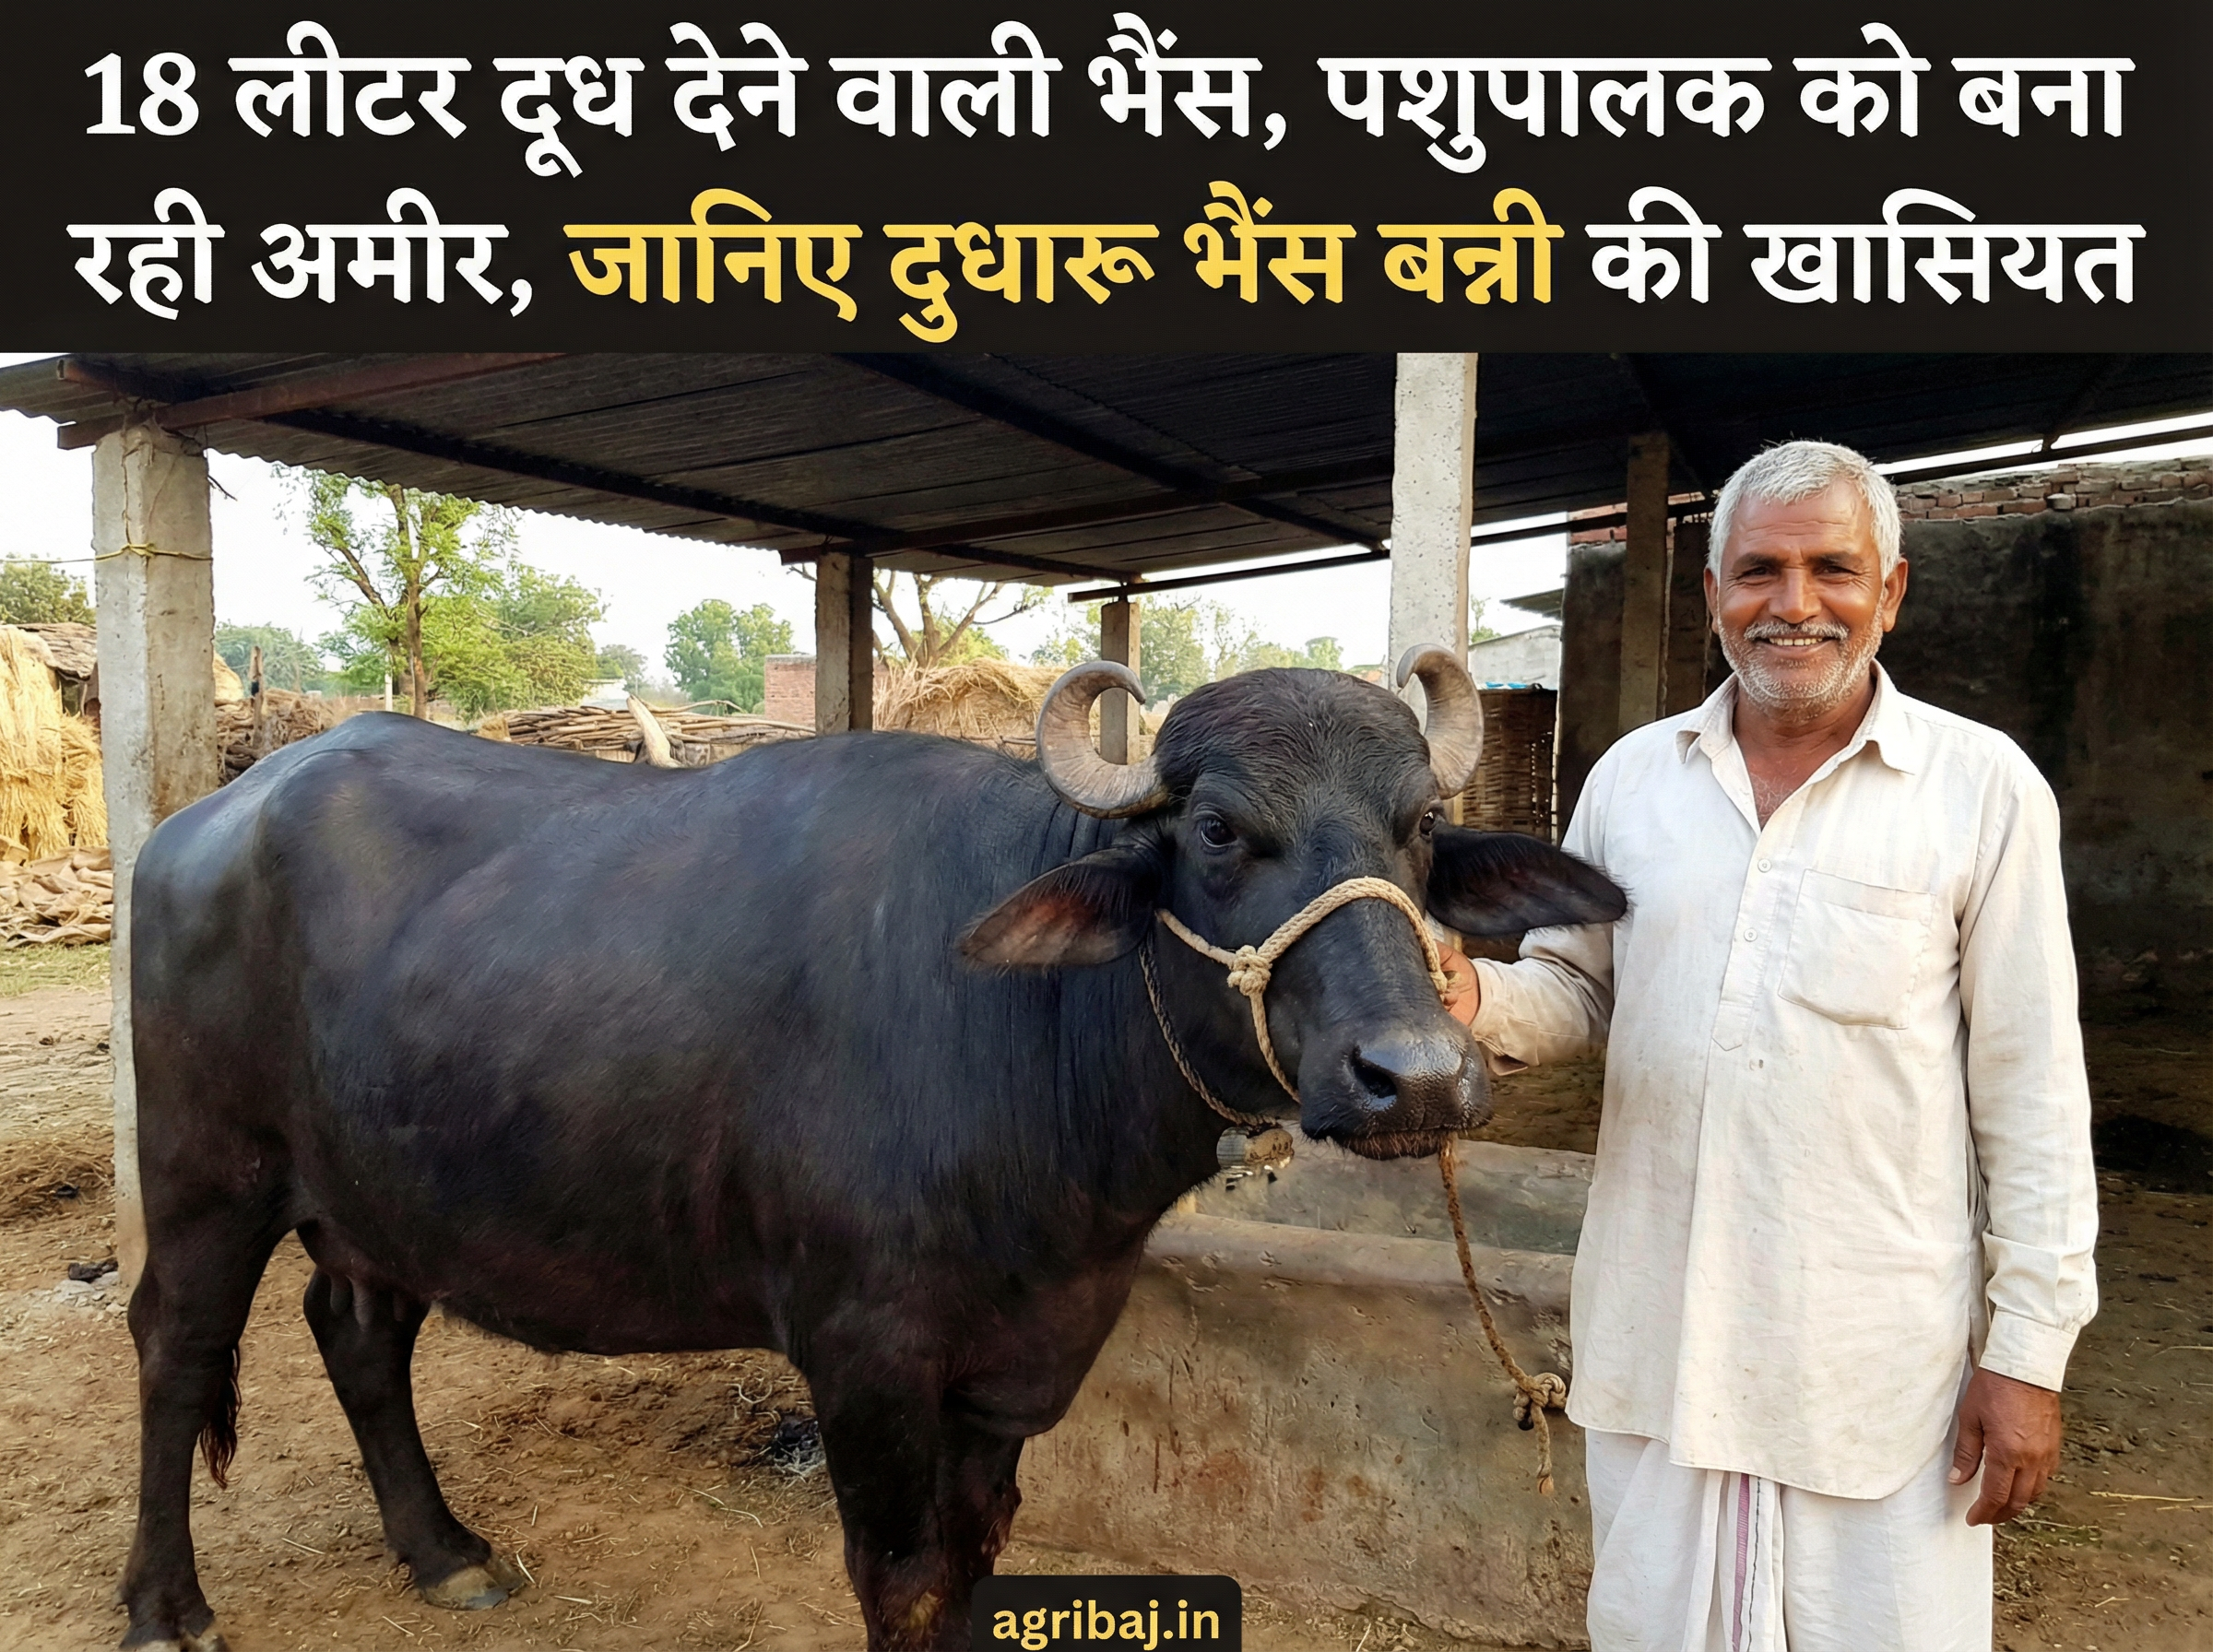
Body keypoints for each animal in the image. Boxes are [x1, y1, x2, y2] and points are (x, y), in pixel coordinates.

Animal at [117, 648, 1623, 1651]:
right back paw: (166, 1606)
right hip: (208, 1172)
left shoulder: (1015, 1369)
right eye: (1214, 828)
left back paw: (444, 1553)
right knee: (177, 1345)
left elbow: (973, 1565)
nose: (1415, 1075)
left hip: (373, 1192)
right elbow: (900, 1582)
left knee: (358, 1332)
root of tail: (207, 821)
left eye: (1421, 828)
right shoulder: (865, 1358)